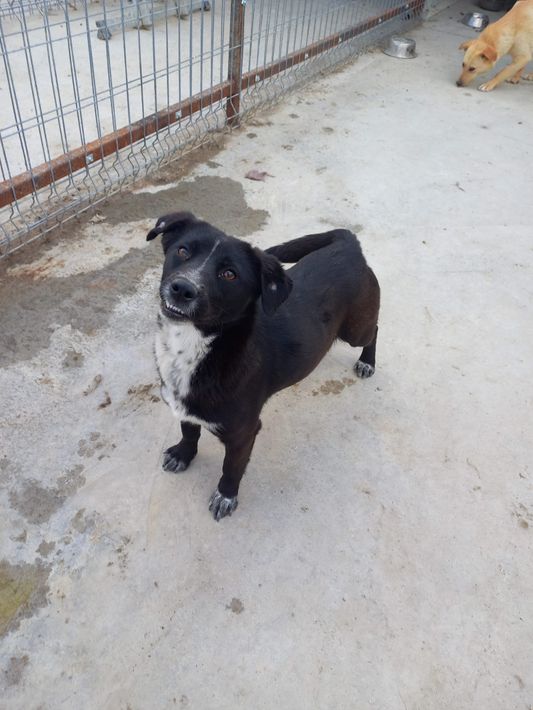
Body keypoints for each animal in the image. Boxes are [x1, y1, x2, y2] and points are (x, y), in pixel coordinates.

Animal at [147, 213, 380, 520]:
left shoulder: (244, 433)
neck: (197, 346)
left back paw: (367, 361)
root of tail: (349, 245)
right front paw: (183, 455)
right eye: (182, 251)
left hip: (356, 330)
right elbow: (189, 430)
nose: (182, 288)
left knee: (374, 330)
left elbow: (231, 468)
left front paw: (226, 496)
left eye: (229, 274)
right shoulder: (185, 407)